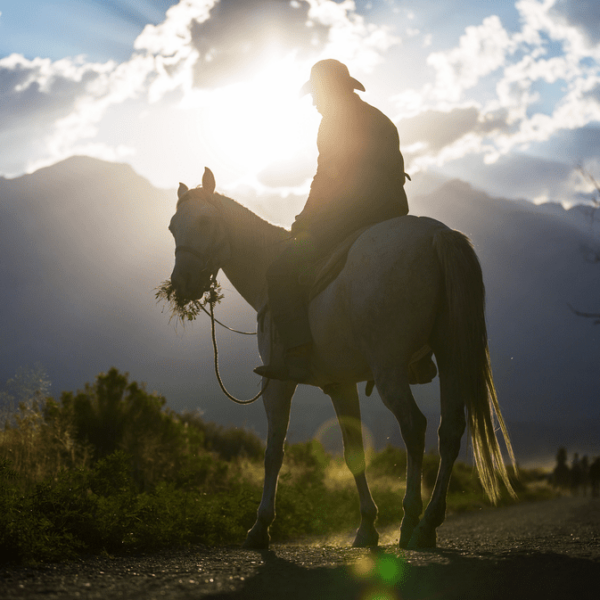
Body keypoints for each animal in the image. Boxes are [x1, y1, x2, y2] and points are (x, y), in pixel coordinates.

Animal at [168, 166, 516, 552]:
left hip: (389, 369)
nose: (181, 284)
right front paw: (366, 526)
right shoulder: (340, 384)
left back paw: (411, 519)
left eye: (204, 221)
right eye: (172, 227)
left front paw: (260, 527)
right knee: (450, 430)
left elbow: (274, 453)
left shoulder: (276, 383)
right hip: (451, 354)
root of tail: (438, 234)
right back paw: (428, 523)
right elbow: (354, 452)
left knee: (414, 426)